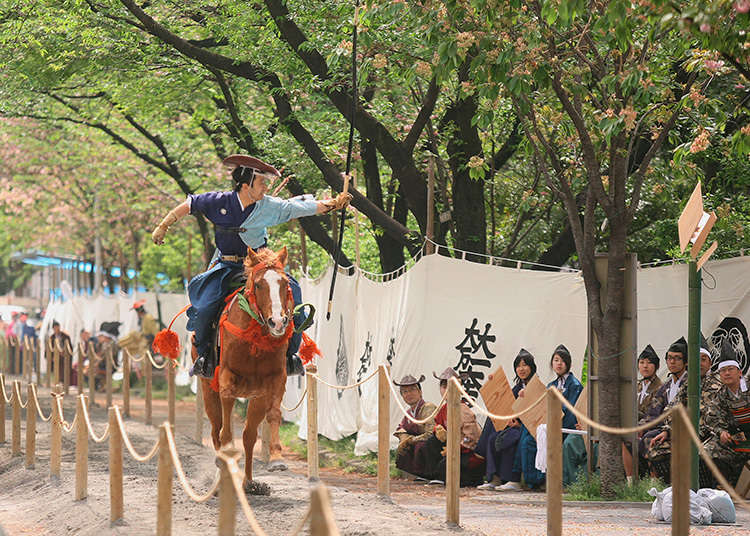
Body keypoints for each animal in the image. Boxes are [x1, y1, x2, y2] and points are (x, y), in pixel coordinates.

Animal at [197, 246, 294, 494]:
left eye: (284, 283)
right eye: (259, 284)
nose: (277, 322)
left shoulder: (276, 380)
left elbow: (274, 414)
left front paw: (277, 457)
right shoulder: (226, 379)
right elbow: (225, 431)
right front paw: (224, 459)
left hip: (257, 397)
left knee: (249, 436)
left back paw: (248, 482)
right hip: (207, 389)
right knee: (216, 430)